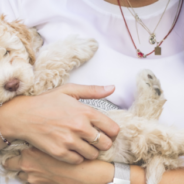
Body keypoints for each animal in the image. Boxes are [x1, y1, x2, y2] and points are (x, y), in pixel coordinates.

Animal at [0, 15, 183, 184]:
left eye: (6, 52)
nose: (12, 84)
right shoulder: (34, 91)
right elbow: (46, 61)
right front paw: (81, 45)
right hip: (126, 129)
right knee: (155, 135)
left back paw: (152, 86)